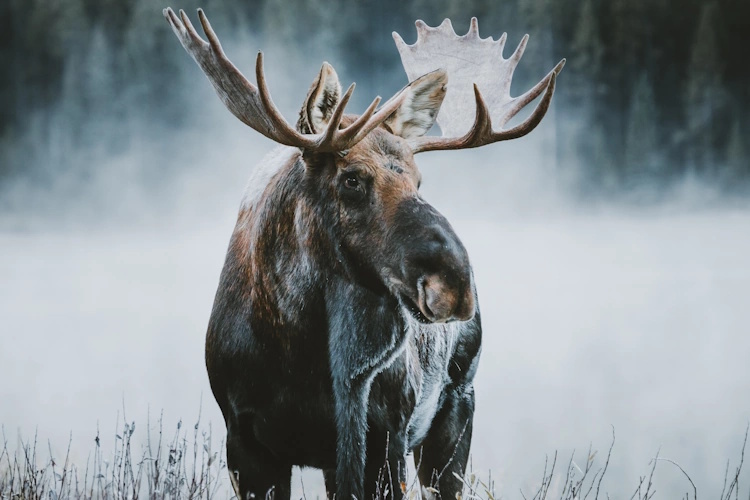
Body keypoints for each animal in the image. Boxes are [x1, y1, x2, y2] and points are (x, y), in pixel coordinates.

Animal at [164, 8, 564, 500]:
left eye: (418, 179)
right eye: (351, 179)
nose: (454, 284)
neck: (298, 349)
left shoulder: (383, 433)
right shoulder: (244, 439)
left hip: (456, 408)